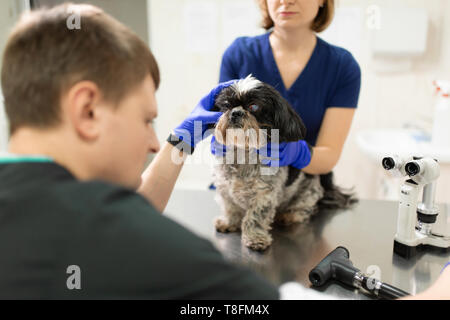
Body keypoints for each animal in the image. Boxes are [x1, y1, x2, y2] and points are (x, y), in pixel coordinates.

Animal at [210, 76, 356, 251]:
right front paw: (229, 222)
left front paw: (255, 237)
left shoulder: (264, 195)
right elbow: (230, 208)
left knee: (307, 209)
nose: (235, 112)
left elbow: (255, 216)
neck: (243, 154)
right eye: (226, 105)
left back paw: (289, 215)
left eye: (254, 106)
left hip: (308, 194)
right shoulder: (225, 190)